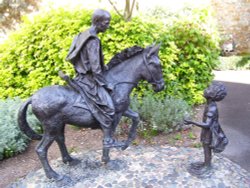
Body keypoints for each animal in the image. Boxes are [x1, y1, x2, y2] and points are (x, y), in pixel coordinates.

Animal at [18, 43, 166, 181]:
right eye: (157, 65)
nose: (161, 86)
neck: (116, 84)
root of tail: (33, 97)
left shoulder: (123, 110)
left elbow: (136, 117)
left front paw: (125, 144)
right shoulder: (113, 116)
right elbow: (108, 137)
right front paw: (107, 159)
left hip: (59, 125)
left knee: (60, 139)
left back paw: (69, 160)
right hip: (51, 127)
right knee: (41, 150)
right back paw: (54, 175)